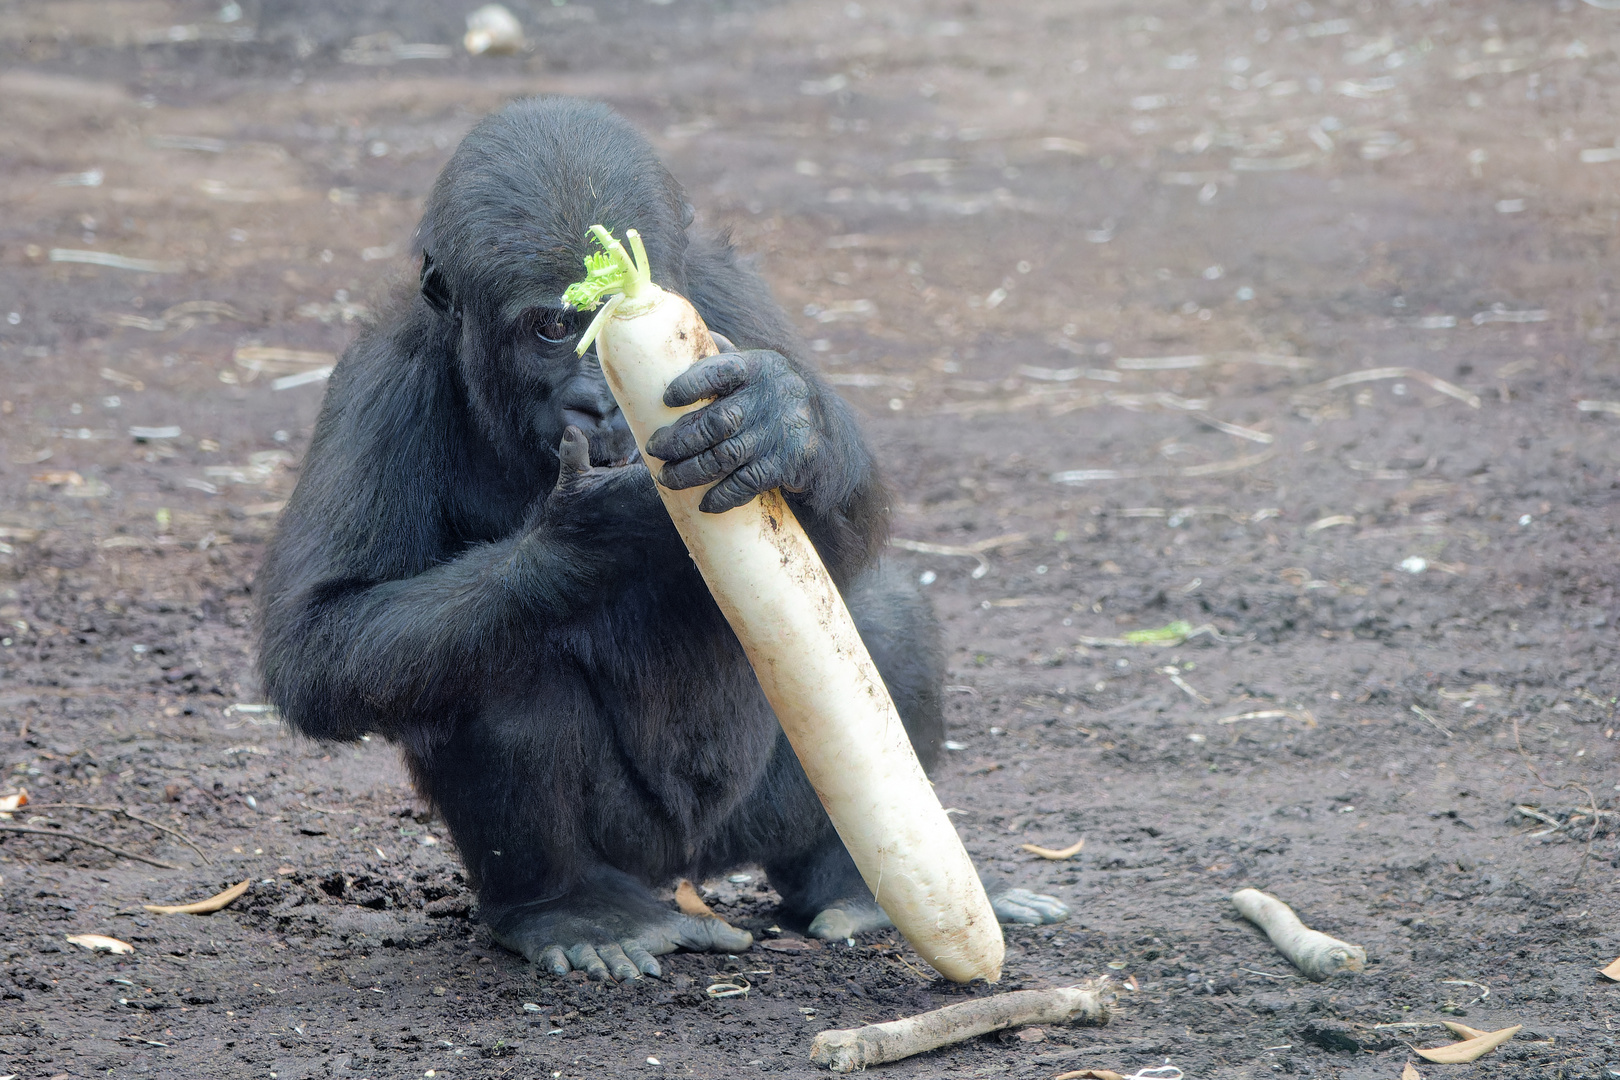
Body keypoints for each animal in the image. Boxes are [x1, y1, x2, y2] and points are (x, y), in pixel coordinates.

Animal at [259, 97, 1069, 984]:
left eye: (595, 323)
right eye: (552, 327)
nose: (597, 404)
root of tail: (692, 870)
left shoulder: (725, 302)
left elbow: (845, 524)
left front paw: (782, 419)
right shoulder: (378, 383)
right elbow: (323, 637)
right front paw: (588, 535)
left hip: (758, 821)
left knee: (883, 610)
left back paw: (851, 884)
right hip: (636, 844)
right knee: (488, 670)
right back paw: (575, 909)